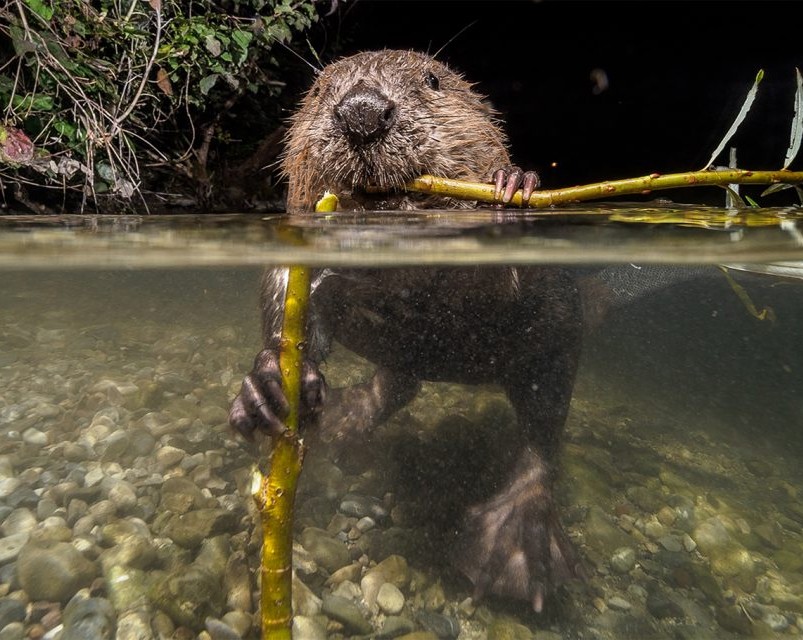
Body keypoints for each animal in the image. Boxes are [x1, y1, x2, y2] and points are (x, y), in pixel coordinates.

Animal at [229, 48, 580, 608]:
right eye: (321, 88)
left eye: (432, 80)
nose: (362, 114)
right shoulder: (298, 236)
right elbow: (288, 294)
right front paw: (266, 387)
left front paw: (511, 182)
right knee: (399, 383)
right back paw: (340, 419)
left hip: (556, 353)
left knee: (540, 435)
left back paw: (514, 548)